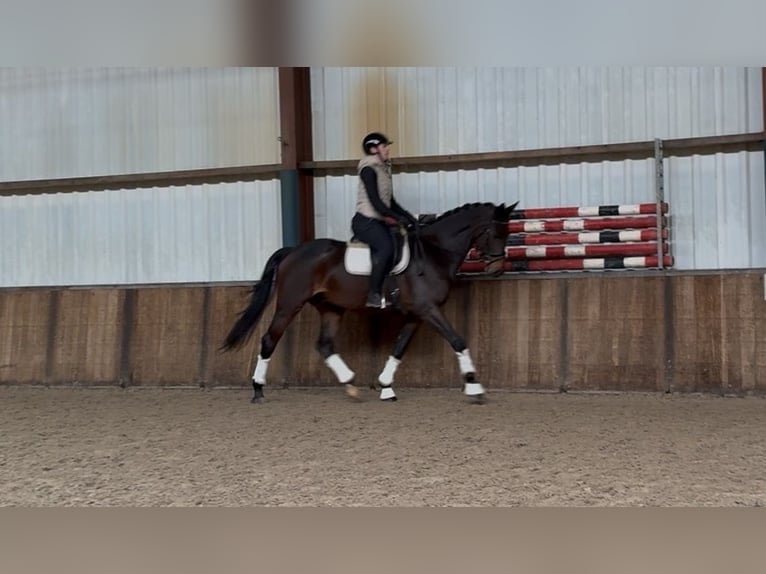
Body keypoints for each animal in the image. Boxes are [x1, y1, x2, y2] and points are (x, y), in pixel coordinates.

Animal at [220, 200, 519, 404]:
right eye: (496, 233)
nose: (496, 269)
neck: (434, 252)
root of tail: (293, 251)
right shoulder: (428, 309)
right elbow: (458, 340)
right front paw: (474, 387)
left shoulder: (416, 314)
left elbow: (399, 348)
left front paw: (386, 387)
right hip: (289, 304)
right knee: (269, 339)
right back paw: (258, 389)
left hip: (331, 308)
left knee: (324, 344)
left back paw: (351, 384)